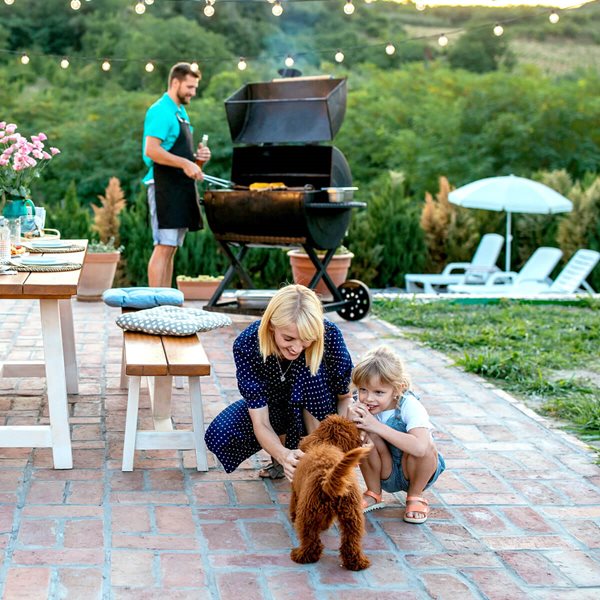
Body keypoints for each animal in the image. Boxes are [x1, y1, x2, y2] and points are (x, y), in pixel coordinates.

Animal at [290, 414, 370, 568]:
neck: (328, 443)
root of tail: (329, 477)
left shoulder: (296, 492)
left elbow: (293, 503)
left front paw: (292, 516)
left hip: (307, 513)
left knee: (312, 541)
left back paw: (300, 556)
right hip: (353, 516)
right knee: (351, 541)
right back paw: (357, 562)